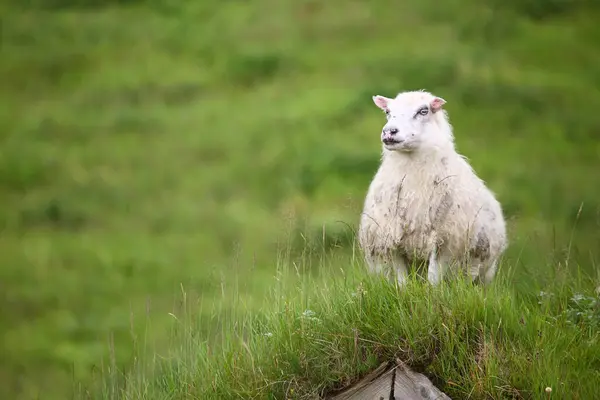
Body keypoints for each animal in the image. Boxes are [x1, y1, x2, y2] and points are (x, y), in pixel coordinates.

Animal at [358, 89, 508, 286]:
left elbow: (433, 280)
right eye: (388, 112)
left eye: (423, 111)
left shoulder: (443, 242)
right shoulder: (391, 241)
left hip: (484, 272)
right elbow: (402, 282)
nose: (389, 131)